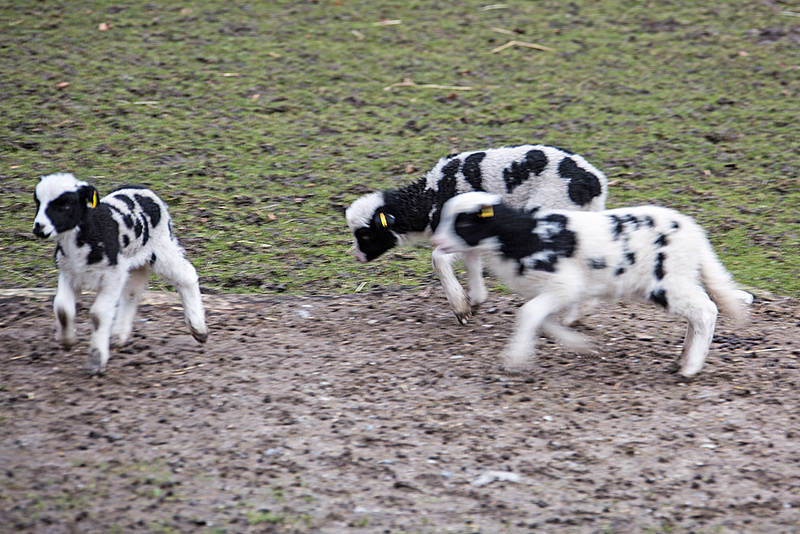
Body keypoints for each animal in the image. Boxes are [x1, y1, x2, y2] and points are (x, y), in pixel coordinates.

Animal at [32, 174, 208, 374]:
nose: (38, 227)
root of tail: (141, 188)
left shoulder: (113, 275)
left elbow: (98, 314)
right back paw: (118, 335)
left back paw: (198, 328)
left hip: (161, 249)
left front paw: (97, 359)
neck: (89, 233)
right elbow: (62, 308)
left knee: (186, 275)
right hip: (136, 262)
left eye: (66, 204)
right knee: (132, 293)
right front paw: (67, 340)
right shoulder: (69, 273)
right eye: (38, 202)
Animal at [344, 144, 608, 324]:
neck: (430, 197)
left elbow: (438, 259)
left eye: (365, 235)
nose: (357, 257)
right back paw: (579, 313)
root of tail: (592, 181)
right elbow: (472, 265)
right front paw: (474, 302)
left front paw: (460, 307)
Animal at [432, 192, 752, 376]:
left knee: (706, 311)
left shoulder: (565, 286)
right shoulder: (550, 292)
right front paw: (582, 345)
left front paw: (515, 359)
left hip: (668, 283)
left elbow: (528, 314)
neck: (523, 235)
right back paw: (683, 358)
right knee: (697, 316)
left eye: (465, 223)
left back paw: (691, 366)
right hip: (678, 281)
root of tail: (694, 232)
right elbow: (543, 319)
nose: (437, 241)